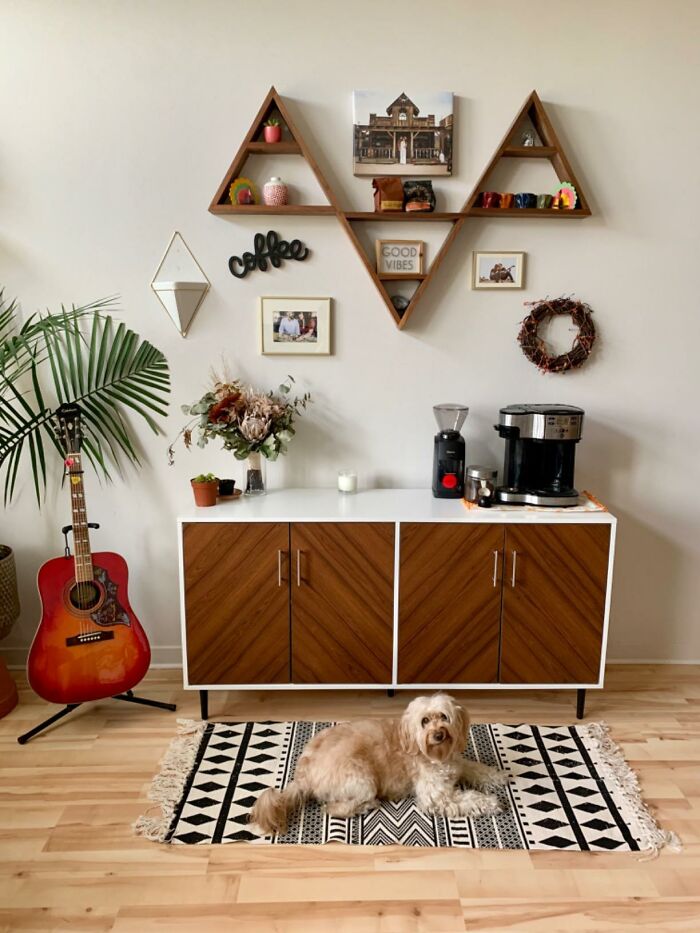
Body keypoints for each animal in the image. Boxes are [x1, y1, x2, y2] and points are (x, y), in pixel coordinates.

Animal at [252, 692, 508, 836]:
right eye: (424, 721)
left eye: (444, 717)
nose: (438, 735)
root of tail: (303, 774)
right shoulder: (437, 796)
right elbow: (469, 798)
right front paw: (491, 802)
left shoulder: (457, 763)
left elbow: (475, 768)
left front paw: (497, 776)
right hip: (363, 780)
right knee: (336, 808)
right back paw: (366, 805)